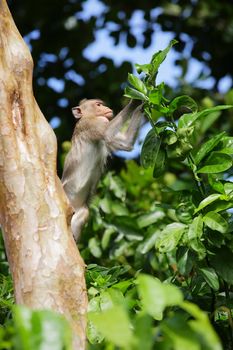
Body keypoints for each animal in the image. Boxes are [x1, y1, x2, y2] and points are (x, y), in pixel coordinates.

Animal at [61, 98, 143, 241]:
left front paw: (141, 106)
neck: (89, 116)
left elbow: (126, 143)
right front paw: (134, 102)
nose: (107, 108)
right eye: (98, 105)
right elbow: (107, 134)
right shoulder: (95, 123)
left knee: (84, 213)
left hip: (76, 209)